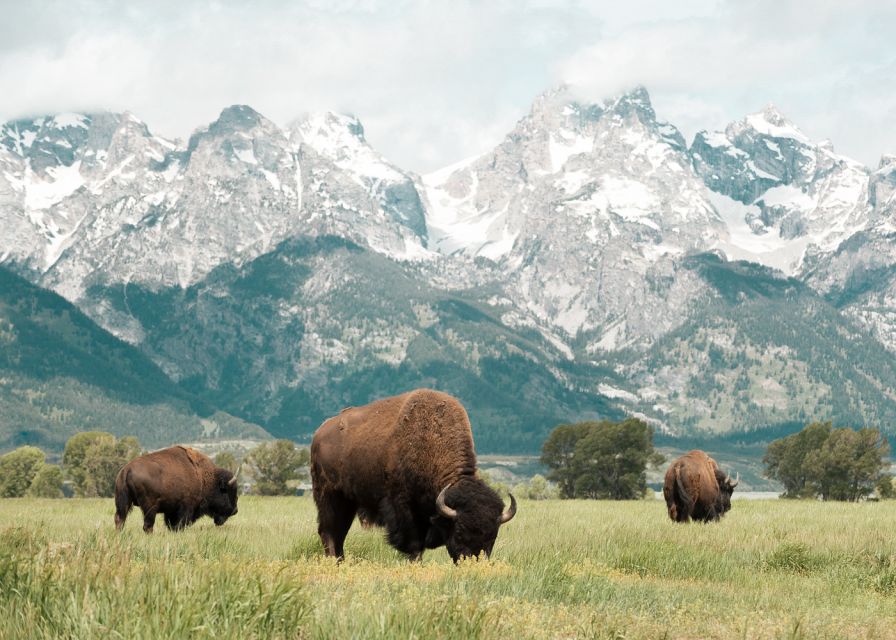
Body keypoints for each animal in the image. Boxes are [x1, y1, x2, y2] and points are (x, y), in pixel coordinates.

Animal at [312, 388, 520, 564]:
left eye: (493, 536)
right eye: (460, 532)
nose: (473, 562)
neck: (432, 441)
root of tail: (319, 433)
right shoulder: (404, 508)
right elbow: (414, 544)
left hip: (348, 502)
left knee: (339, 532)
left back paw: (340, 561)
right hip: (329, 496)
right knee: (329, 531)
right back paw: (333, 561)